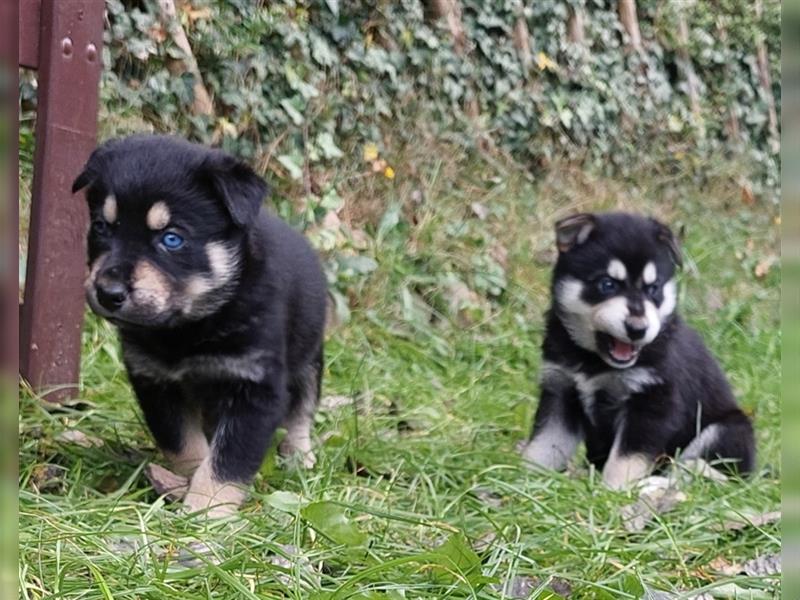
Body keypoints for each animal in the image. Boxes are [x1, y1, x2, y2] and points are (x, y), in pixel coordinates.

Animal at [72, 135, 328, 516]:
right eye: (102, 227)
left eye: (172, 238)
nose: (108, 292)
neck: (189, 328)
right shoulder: (156, 384)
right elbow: (185, 444)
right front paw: (185, 485)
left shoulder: (256, 388)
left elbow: (227, 460)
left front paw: (207, 511)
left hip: (310, 359)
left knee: (302, 410)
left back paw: (299, 456)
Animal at [520, 211, 752, 488]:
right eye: (607, 284)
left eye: (653, 289)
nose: (638, 329)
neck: (594, 362)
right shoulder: (561, 391)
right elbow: (545, 444)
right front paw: (524, 477)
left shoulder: (651, 402)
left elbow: (626, 458)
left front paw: (614, 490)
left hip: (728, 428)